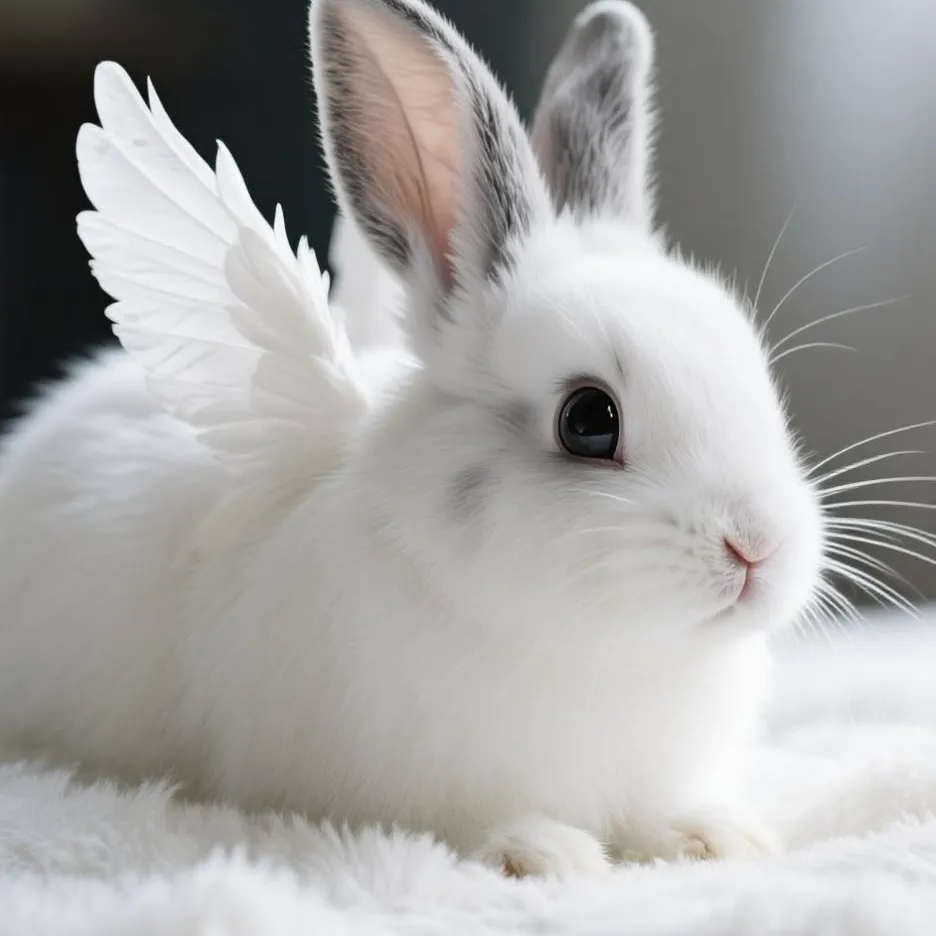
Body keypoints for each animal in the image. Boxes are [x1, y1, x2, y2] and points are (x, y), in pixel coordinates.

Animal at [0, 0, 825, 877]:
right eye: (588, 420)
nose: (757, 546)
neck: (610, 654)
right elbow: (474, 822)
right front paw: (545, 852)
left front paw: (713, 837)